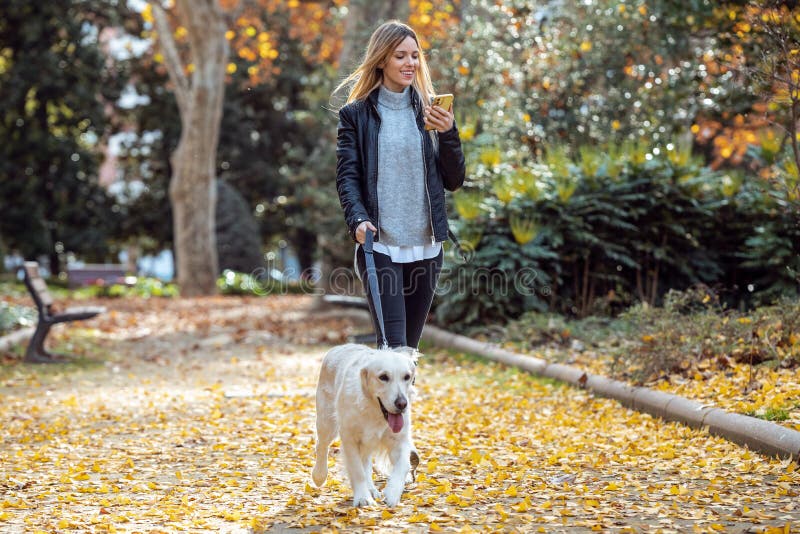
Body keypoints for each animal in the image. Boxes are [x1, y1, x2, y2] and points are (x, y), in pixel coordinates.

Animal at [310, 346, 418, 508]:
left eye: (407, 376)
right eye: (383, 377)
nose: (402, 404)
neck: (374, 410)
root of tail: (336, 348)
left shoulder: (399, 440)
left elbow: (403, 465)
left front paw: (392, 493)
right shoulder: (350, 439)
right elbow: (357, 470)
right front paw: (362, 498)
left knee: (366, 462)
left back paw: (372, 489)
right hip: (327, 422)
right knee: (321, 446)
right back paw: (319, 475)